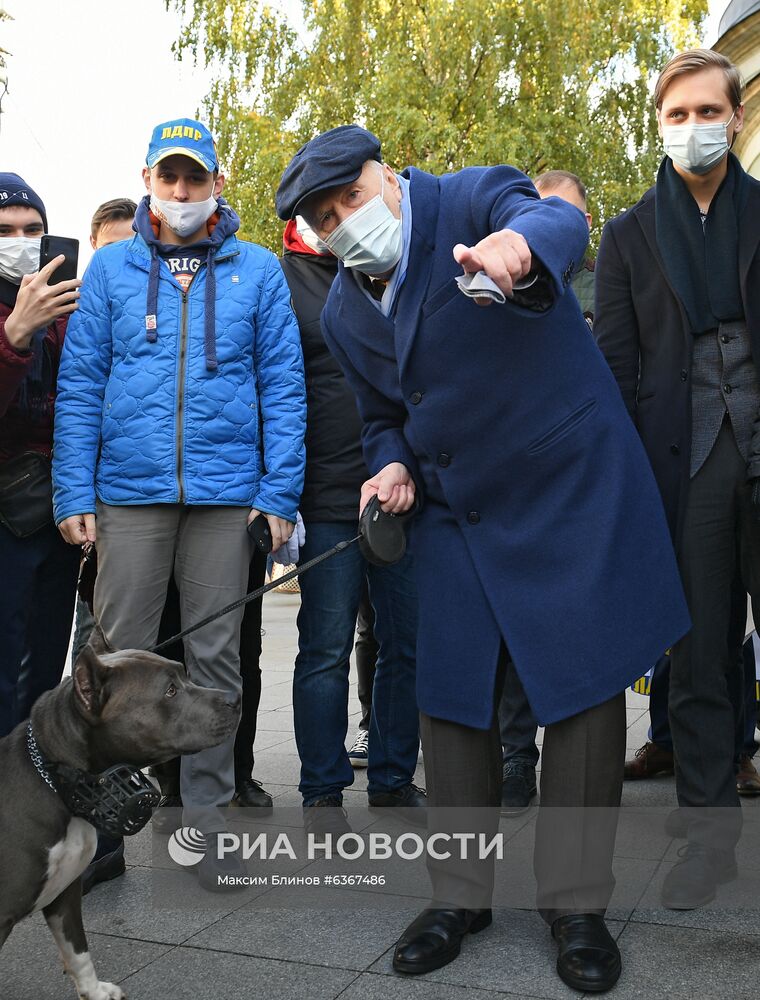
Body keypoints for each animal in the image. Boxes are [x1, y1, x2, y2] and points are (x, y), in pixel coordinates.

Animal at [0, 632, 240, 1000]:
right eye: (170, 691)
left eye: (184, 675)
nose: (235, 698)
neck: (58, 784)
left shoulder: (65, 894)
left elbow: (78, 950)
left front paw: (94, 990)